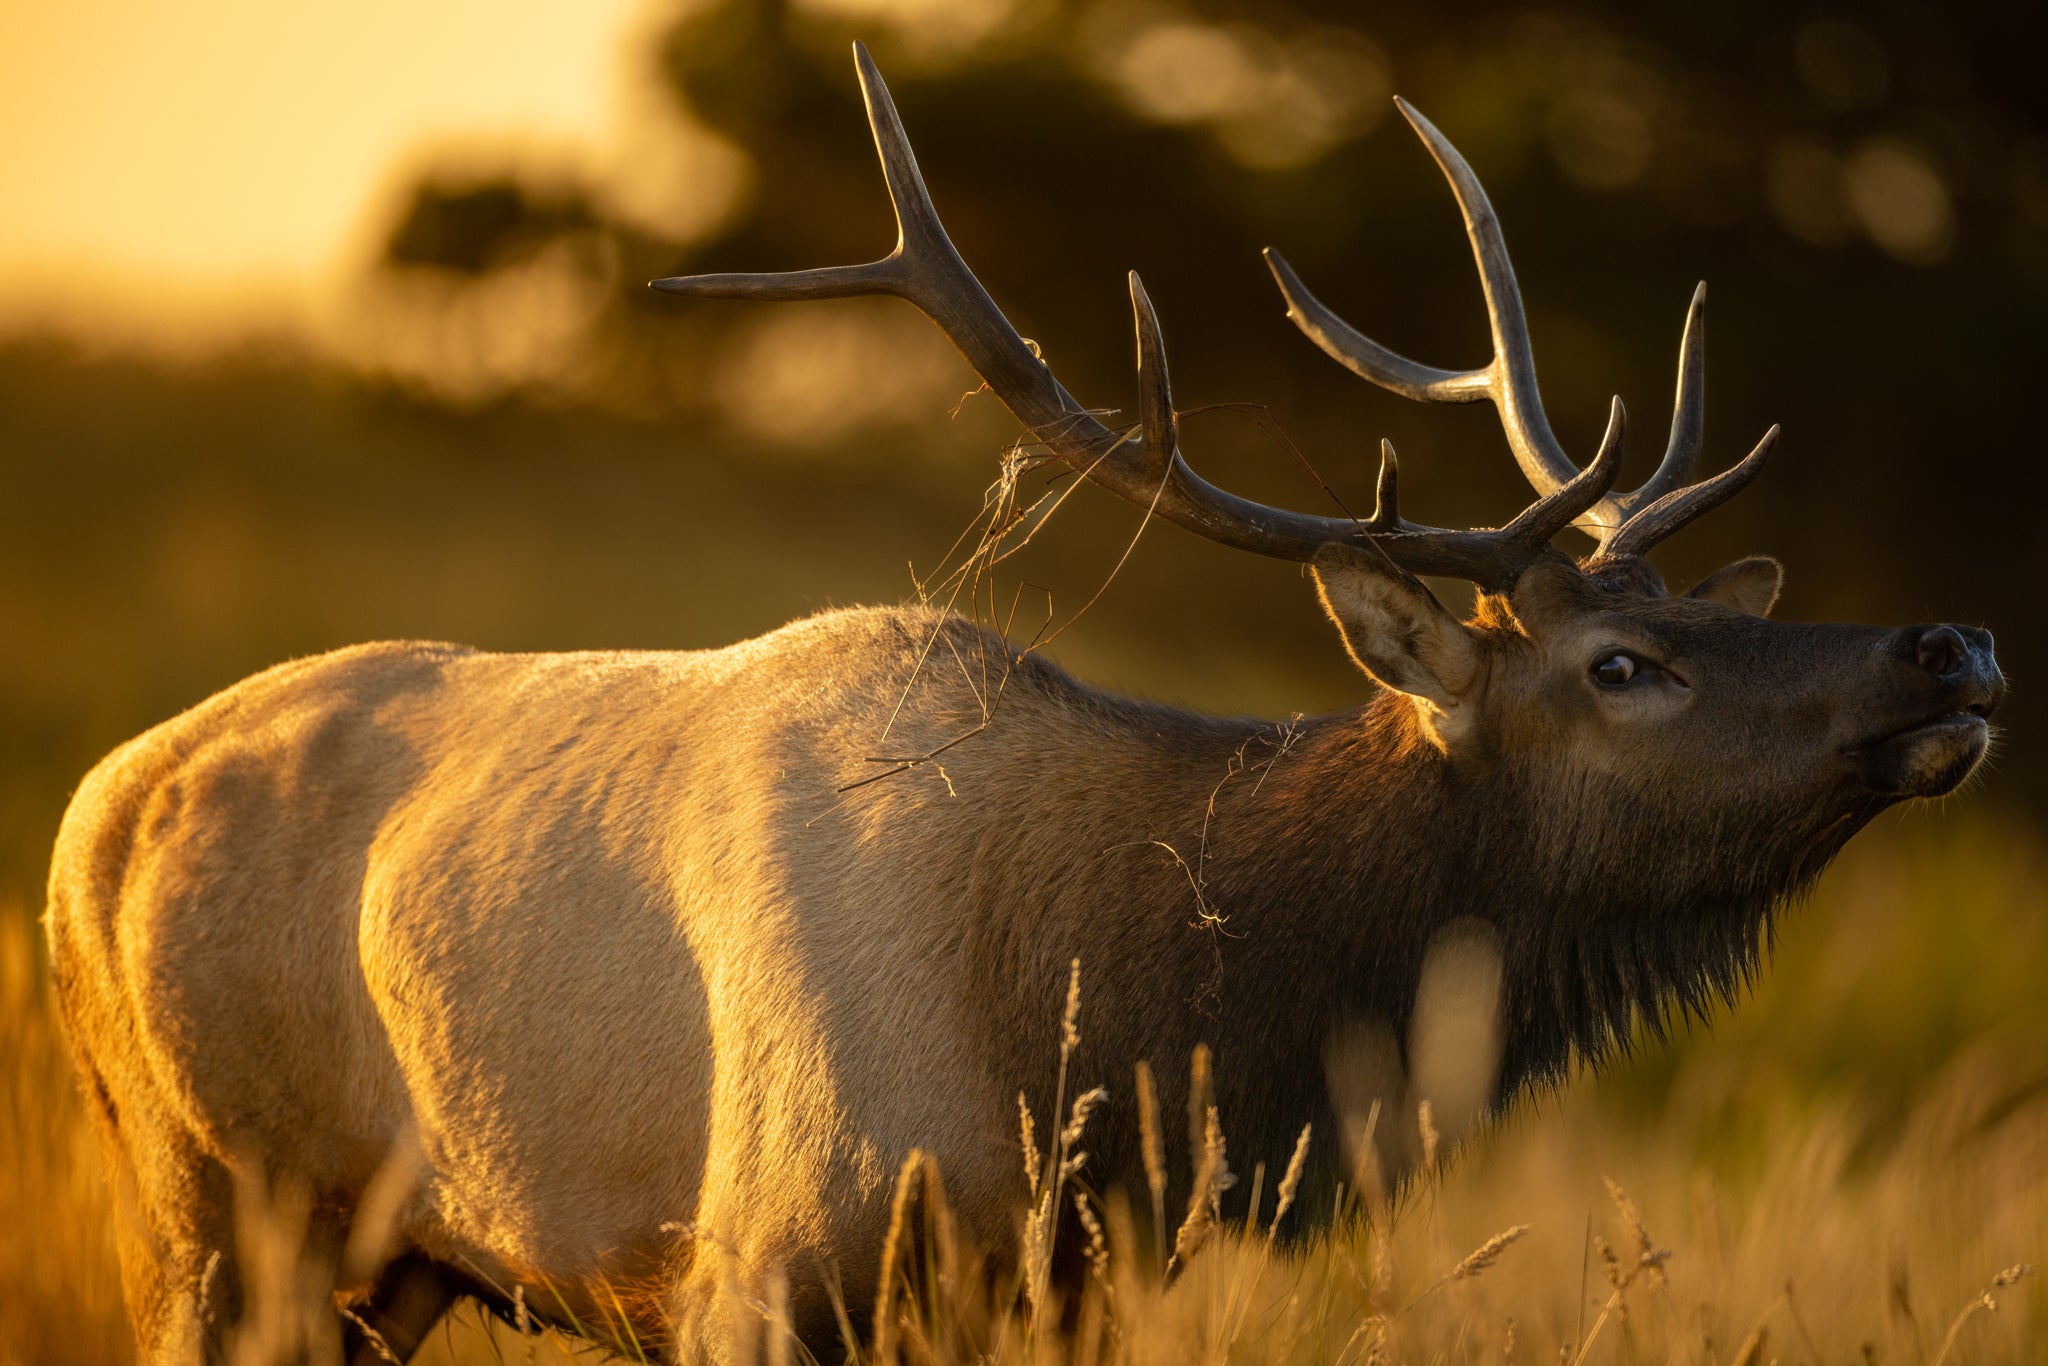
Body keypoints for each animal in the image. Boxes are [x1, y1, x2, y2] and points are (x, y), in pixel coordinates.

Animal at [46, 41, 2001, 1366]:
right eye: (1620, 666)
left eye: (1674, 615)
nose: (1953, 648)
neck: (1101, 1021)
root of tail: (83, 821)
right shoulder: (759, 1267)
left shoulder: (1057, 1291)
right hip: (207, 1201)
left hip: (388, 1259)